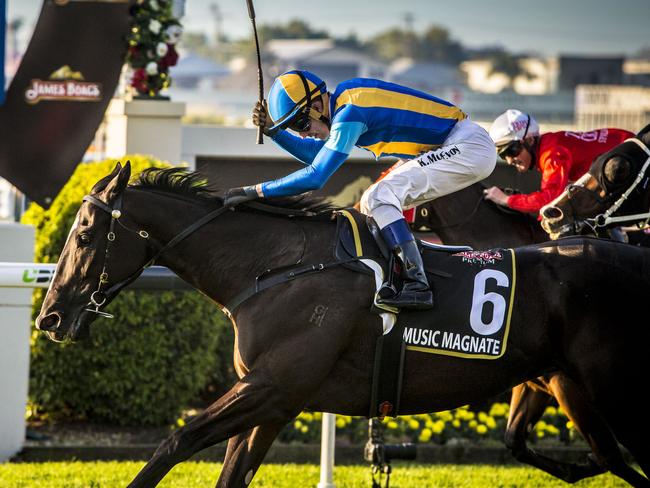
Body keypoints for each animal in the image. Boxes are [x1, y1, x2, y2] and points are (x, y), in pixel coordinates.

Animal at [36, 165, 648, 488]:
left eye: (84, 234)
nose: (50, 317)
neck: (276, 267)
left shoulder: (272, 386)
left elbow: (174, 441)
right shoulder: (273, 402)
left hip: (612, 391)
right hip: (568, 385)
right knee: (615, 458)